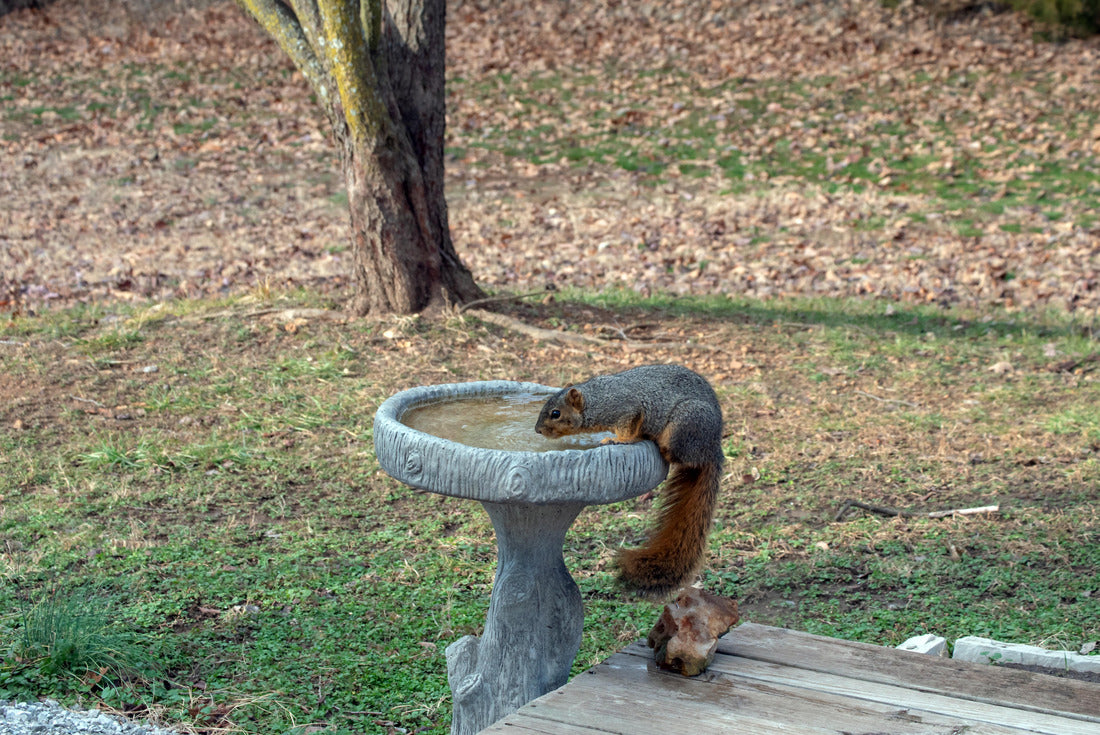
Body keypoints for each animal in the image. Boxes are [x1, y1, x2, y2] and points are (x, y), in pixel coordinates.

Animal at [535, 364, 724, 597]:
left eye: (556, 413)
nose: (537, 430)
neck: (596, 400)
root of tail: (712, 447)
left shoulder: (626, 410)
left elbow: (628, 428)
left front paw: (617, 440)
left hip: (686, 422)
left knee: (678, 454)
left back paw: (662, 447)